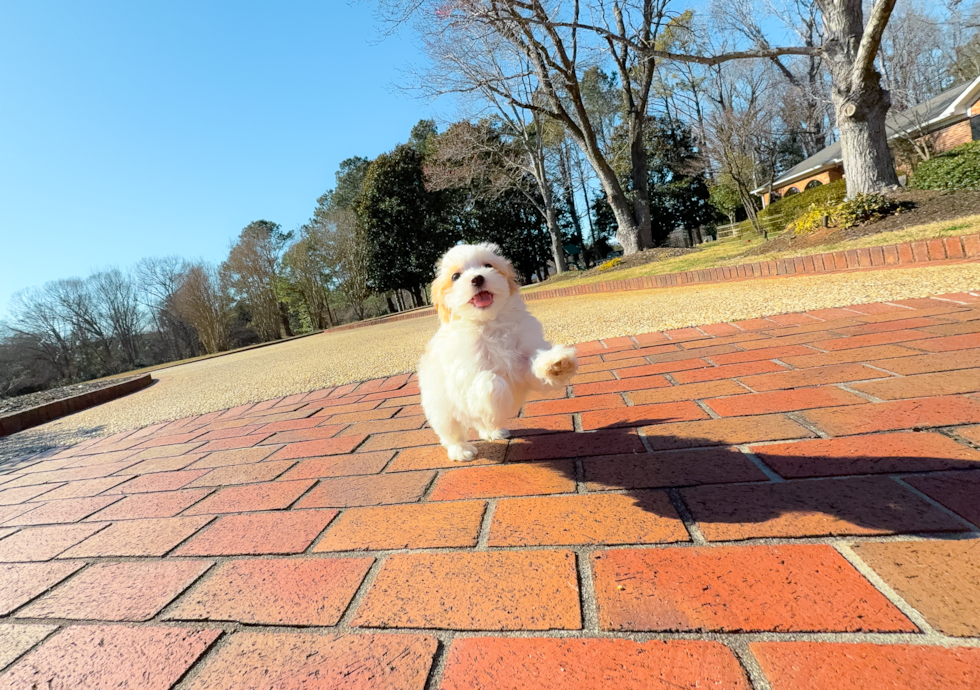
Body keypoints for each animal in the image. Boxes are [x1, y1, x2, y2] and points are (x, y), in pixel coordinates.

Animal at [418, 239, 580, 460]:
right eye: (455, 276)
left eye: (488, 265)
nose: (477, 278)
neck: (489, 322)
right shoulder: (465, 373)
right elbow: (491, 382)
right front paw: (498, 407)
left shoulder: (524, 353)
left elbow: (534, 364)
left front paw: (556, 364)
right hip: (441, 408)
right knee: (452, 432)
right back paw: (462, 449)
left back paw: (492, 431)